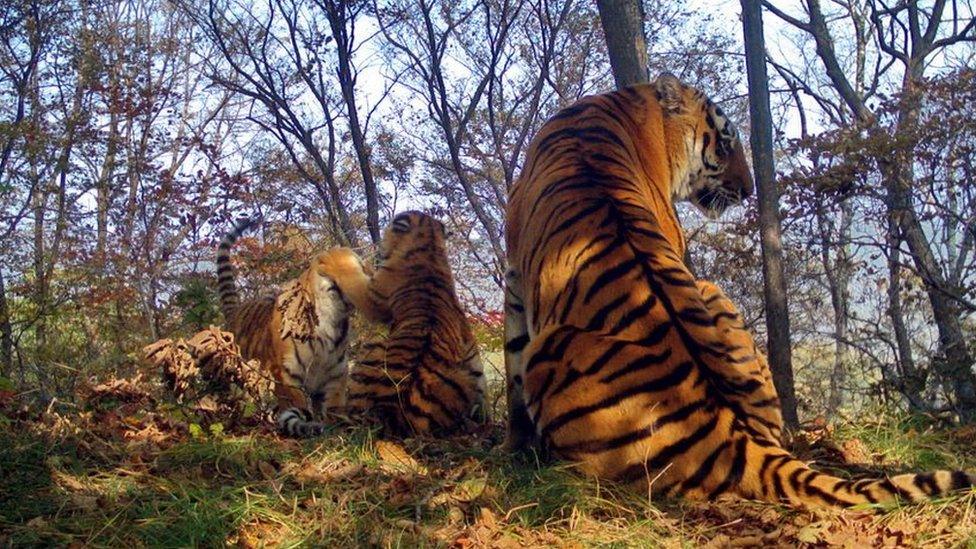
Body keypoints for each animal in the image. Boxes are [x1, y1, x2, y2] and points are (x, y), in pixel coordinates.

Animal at [215, 218, 352, 436]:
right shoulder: (286, 374)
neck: (330, 324)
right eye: (326, 261)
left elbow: (334, 405)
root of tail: (235, 309)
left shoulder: (336, 375)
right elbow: (296, 402)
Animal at [320, 211, 488, 436]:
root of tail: (391, 413)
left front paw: (335, 257)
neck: (430, 246)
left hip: (373, 347)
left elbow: (353, 278)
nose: (380, 247)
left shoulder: (373, 297)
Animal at [500, 75, 972, 508]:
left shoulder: (516, 279)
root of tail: (739, 437)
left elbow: (512, 362)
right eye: (726, 146)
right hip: (711, 296)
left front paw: (514, 450)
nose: (748, 190)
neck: (629, 106)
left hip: (552, 350)